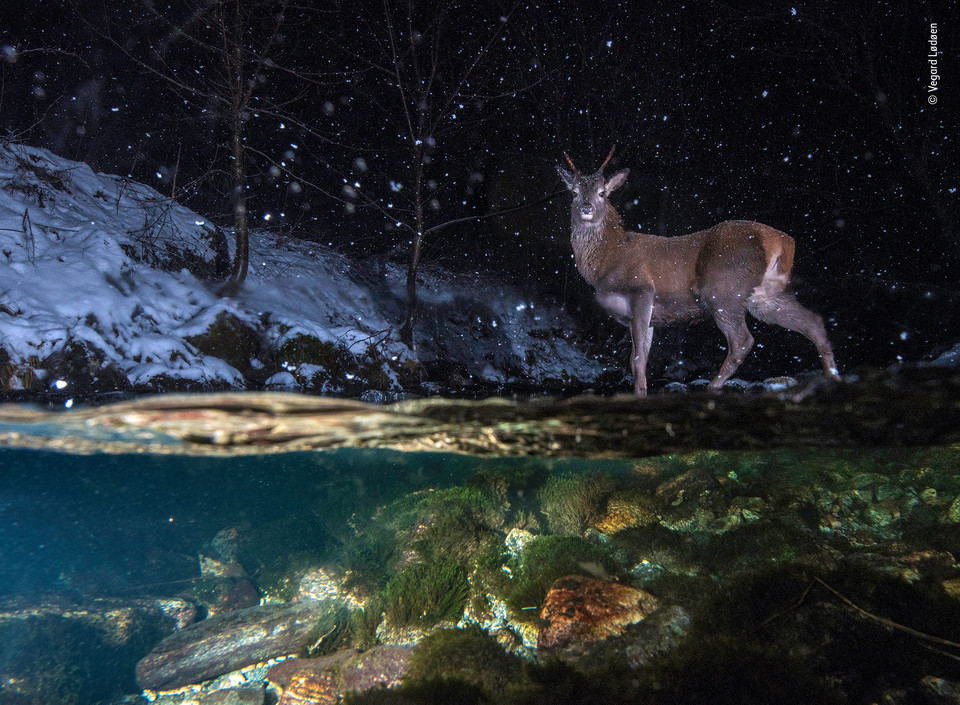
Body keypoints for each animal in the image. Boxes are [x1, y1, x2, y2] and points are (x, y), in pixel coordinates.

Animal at [556, 148, 840, 396]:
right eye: (574, 192)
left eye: (602, 193)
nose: (586, 206)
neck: (608, 259)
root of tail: (781, 240)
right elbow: (640, 357)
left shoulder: (642, 289)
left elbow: (637, 359)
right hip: (765, 294)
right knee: (813, 322)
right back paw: (833, 378)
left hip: (724, 289)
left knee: (743, 341)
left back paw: (713, 386)